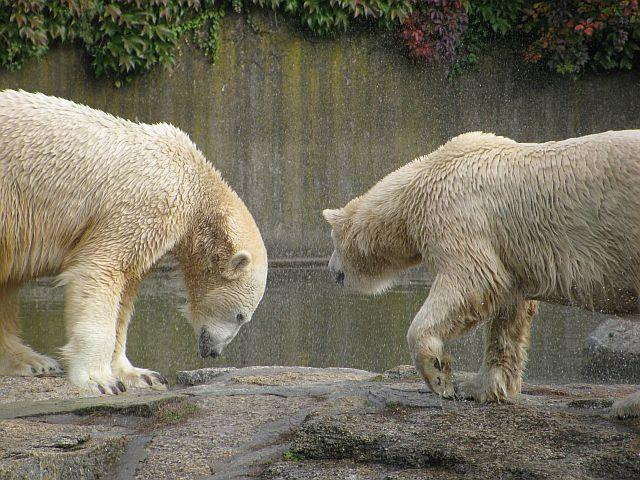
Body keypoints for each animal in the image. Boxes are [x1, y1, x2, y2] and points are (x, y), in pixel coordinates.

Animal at [0, 90, 267, 395]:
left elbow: (126, 289)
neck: (193, 179)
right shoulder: (145, 204)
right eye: (241, 316)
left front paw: (140, 374)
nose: (213, 352)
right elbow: (101, 269)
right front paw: (100, 381)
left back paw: (32, 362)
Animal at [323, 130, 640, 418]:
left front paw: (440, 377)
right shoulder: (508, 253)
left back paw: (625, 405)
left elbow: (472, 280)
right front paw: (479, 387)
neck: (420, 183)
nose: (332, 271)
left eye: (333, 242)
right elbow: (508, 314)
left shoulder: (456, 214)